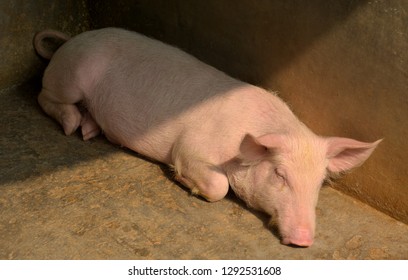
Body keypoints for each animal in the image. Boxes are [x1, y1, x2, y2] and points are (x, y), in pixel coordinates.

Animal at [33, 27, 380, 247]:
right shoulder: (190, 147)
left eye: (319, 183)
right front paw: (186, 183)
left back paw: (90, 131)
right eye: (280, 174)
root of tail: (74, 39)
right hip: (69, 79)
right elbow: (217, 185)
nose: (304, 240)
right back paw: (73, 126)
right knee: (44, 97)